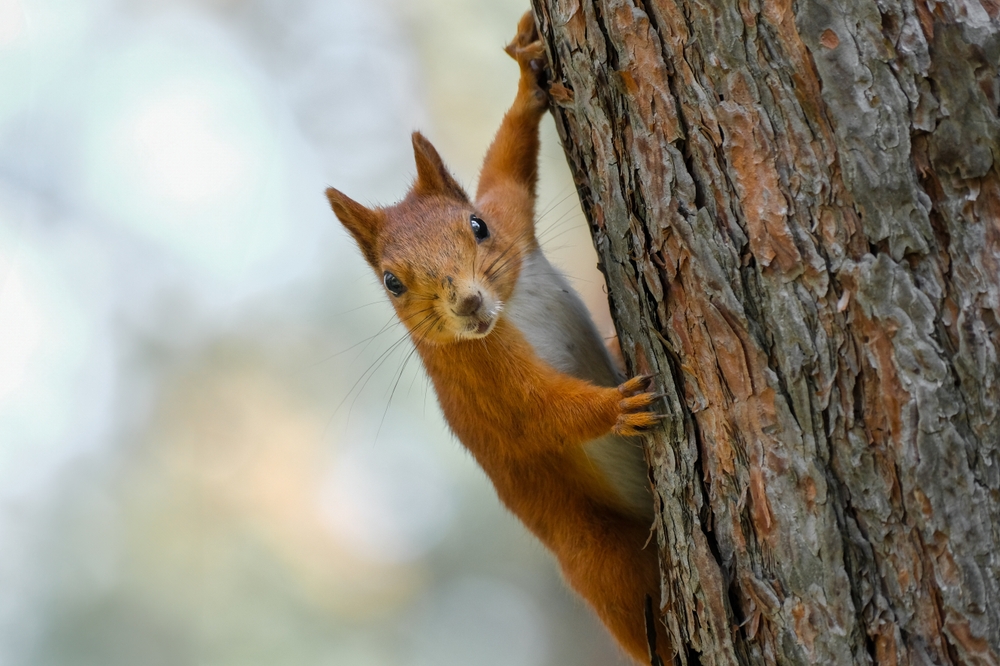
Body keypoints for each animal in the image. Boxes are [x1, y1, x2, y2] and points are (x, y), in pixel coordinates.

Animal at [326, 12, 667, 664]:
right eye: (392, 283)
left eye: (477, 226)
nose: (469, 303)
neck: (510, 309)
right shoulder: (485, 383)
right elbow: (538, 413)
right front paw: (617, 408)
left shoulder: (511, 219)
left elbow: (508, 163)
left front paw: (526, 79)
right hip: (600, 555)